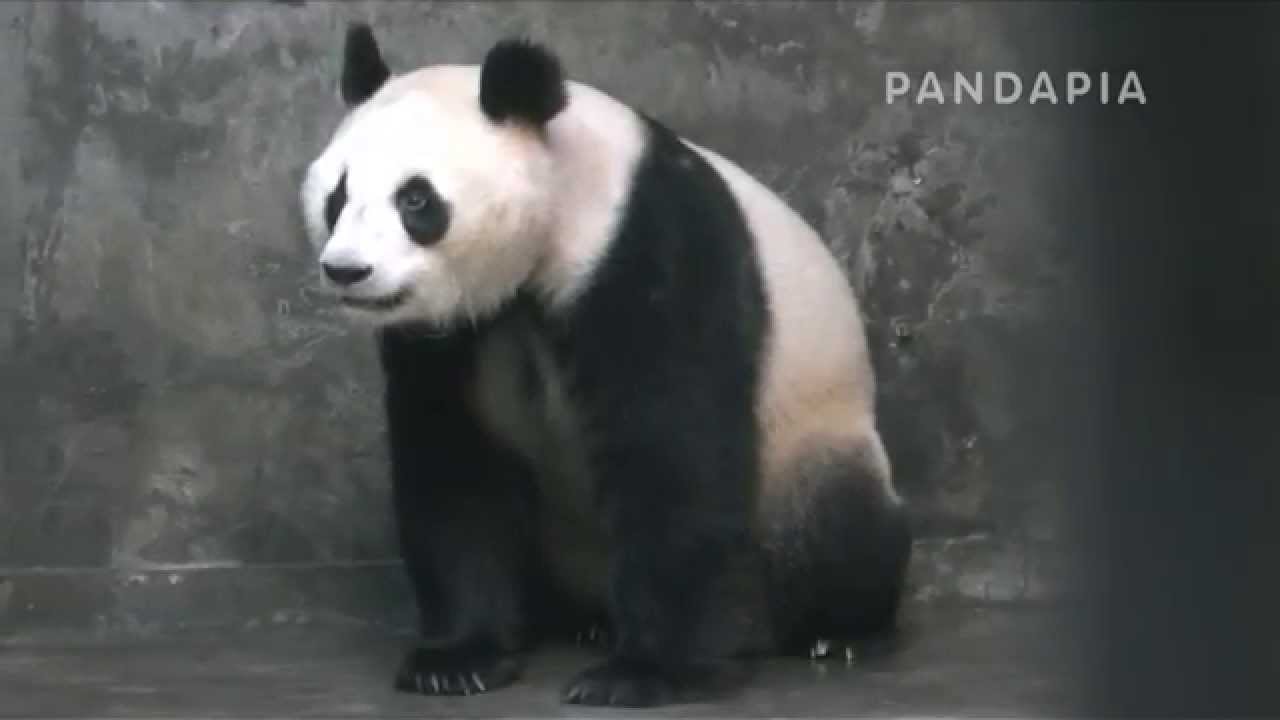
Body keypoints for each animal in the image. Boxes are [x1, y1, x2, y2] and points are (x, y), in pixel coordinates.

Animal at [299, 23, 912, 708]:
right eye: (338, 196)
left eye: (415, 199)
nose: (347, 270)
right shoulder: (451, 337)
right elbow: (454, 460)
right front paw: (457, 658)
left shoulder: (649, 250)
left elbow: (673, 448)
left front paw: (644, 672)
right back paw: (584, 622)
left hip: (813, 444)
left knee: (838, 526)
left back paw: (834, 632)